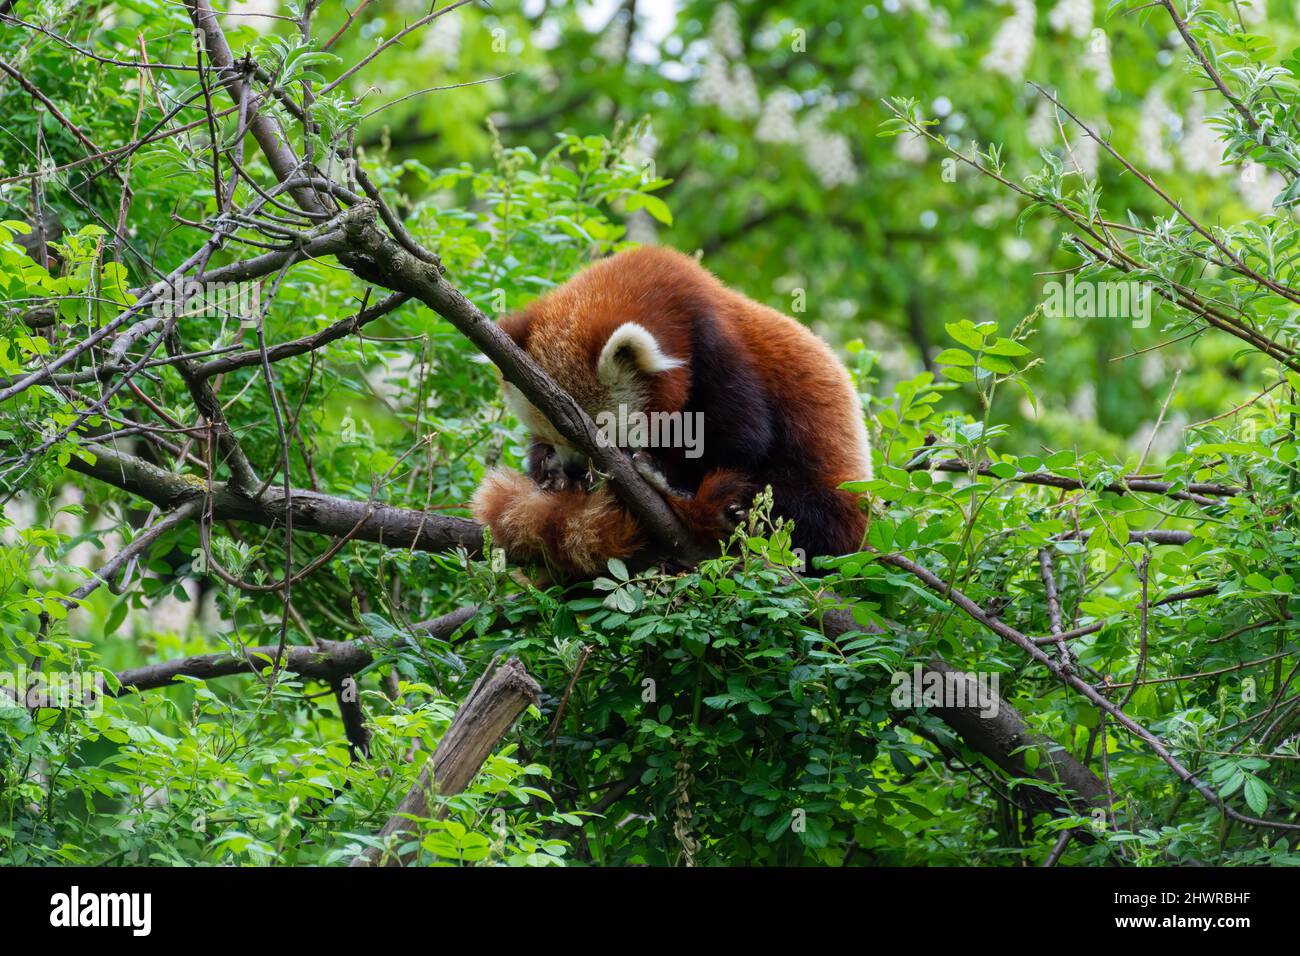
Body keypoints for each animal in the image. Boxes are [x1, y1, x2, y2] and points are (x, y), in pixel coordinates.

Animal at [472, 246, 872, 577]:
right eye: (548, 432)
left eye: (591, 435)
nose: (572, 470)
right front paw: (548, 470)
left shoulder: (715, 341)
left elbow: (742, 437)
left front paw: (667, 472)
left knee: (805, 515)